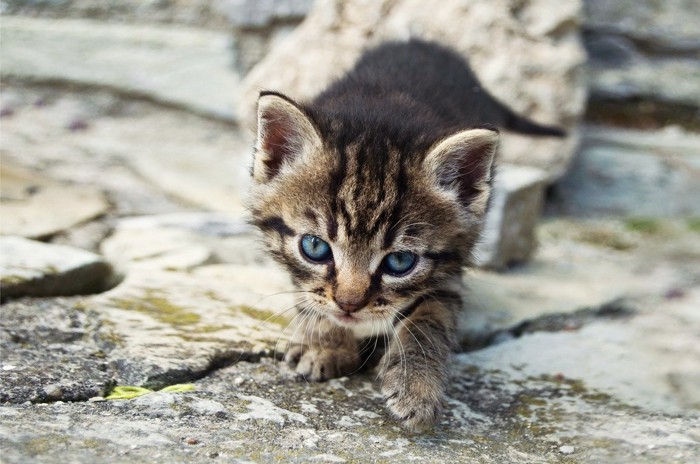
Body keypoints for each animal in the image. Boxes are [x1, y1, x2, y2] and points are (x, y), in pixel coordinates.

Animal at [249, 40, 568, 432]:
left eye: (400, 261)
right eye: (315, 247)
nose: (349, 305)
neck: (381, 113)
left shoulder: (450, 267)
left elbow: (430, 320)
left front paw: (416, 388)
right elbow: (306, 292)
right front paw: (325, 343)